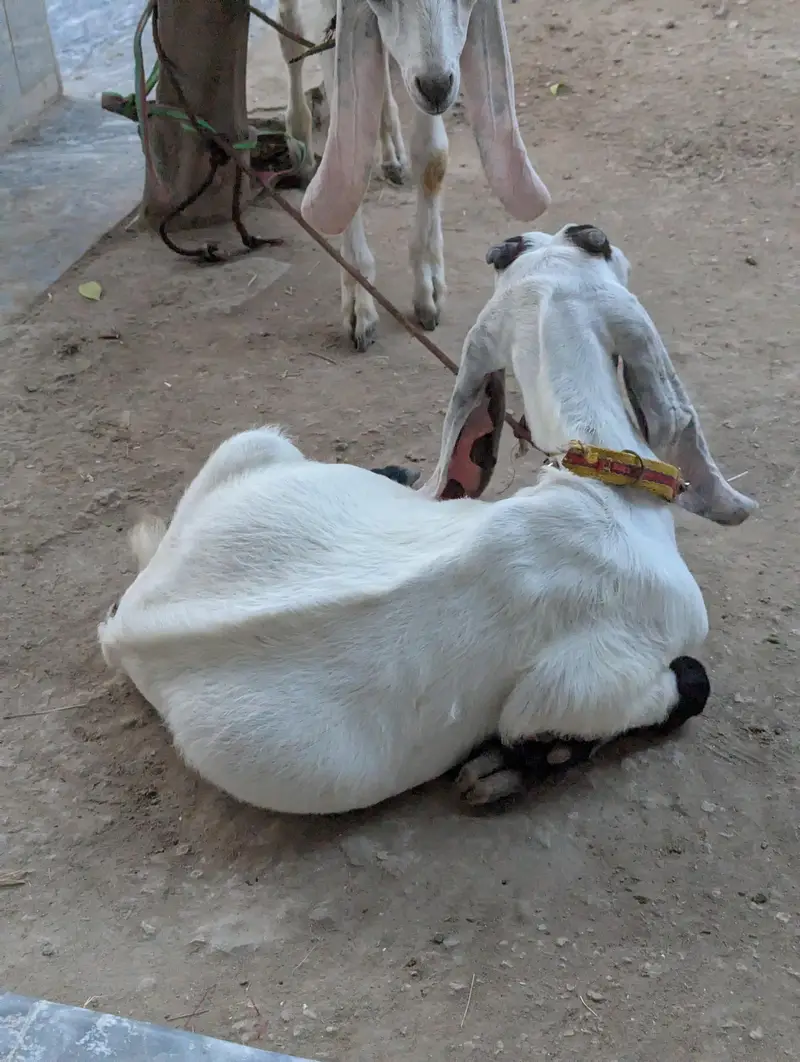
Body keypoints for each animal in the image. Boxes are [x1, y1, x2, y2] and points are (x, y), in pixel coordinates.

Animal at [97, 224, 755, 814]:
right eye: (597, 242)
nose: (539, 234)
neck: (598, 491)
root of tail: (126, 626)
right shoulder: (585, 685)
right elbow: (685, 685)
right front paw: (507, 770)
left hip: (251, 445)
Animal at [275, 0, 550, 350]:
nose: (437, 87)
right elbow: (351, 155)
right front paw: (360, 304)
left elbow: (433, 156)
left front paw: (428, 290)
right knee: (290, 28)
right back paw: (300, 141)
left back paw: (393, 152)